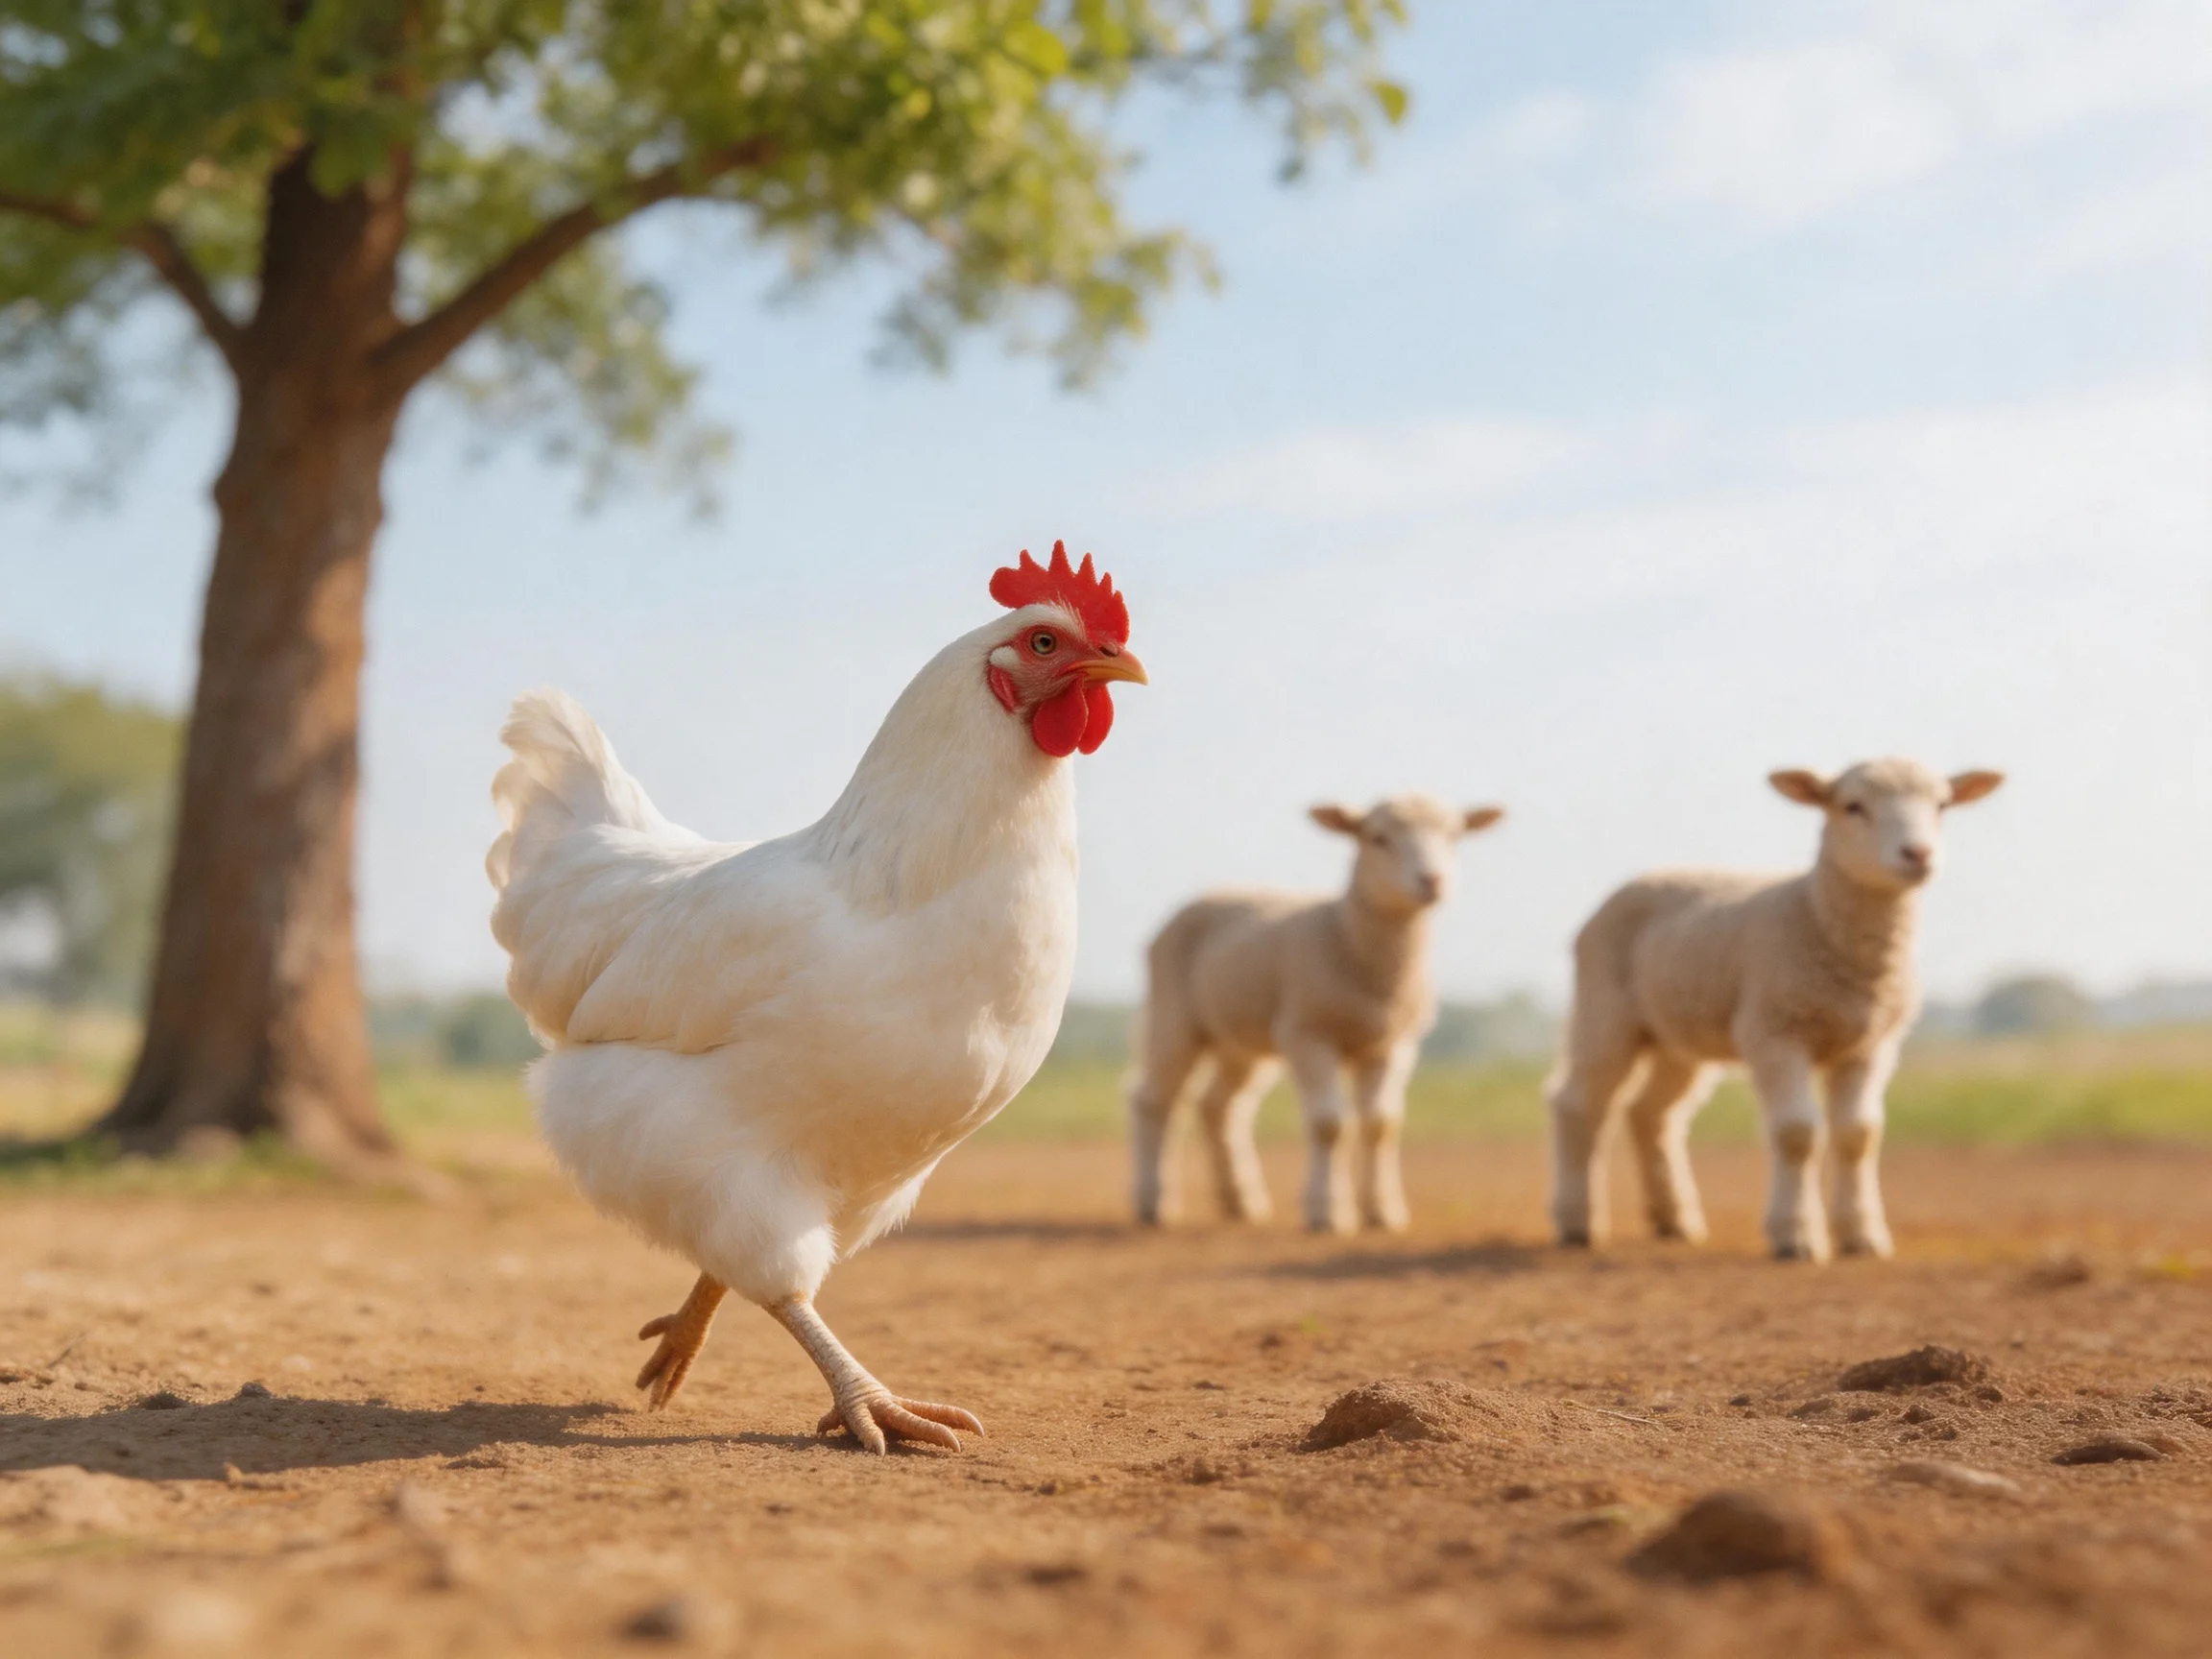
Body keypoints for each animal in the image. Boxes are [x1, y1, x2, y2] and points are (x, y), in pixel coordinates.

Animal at [1128, 796, 1505, 1234]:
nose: (1432, 881)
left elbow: (1381, 1124)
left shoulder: (1394, 1042)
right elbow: (1329, 1123)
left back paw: (1241, 1200)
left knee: (1219, 1106)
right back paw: (1154, 1202)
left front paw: (1383, 1211)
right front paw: (1328, 1211)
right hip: (1174, 1016)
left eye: (1454, 836)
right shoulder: (1308, 1034)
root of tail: (1207, 894)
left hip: (1243, 1040)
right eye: (1378, 838)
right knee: (1154, 1101)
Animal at [1547, 758, 2004, 1262]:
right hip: (1604, 1011)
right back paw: (1578, 1223)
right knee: (1578, 1103)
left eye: (1942, 805)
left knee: (1651, 1113)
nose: (1918, 854)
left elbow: (1859, 1135)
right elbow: (1797, 1132)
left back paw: (1675, 1220)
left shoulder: (1872, 1044)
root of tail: (1641, 878)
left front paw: (1862, 1236)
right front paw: (1796, 1236)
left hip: (1680, 1036)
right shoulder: (1775, 1032)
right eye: (1853, 806)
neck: (1814, 914)